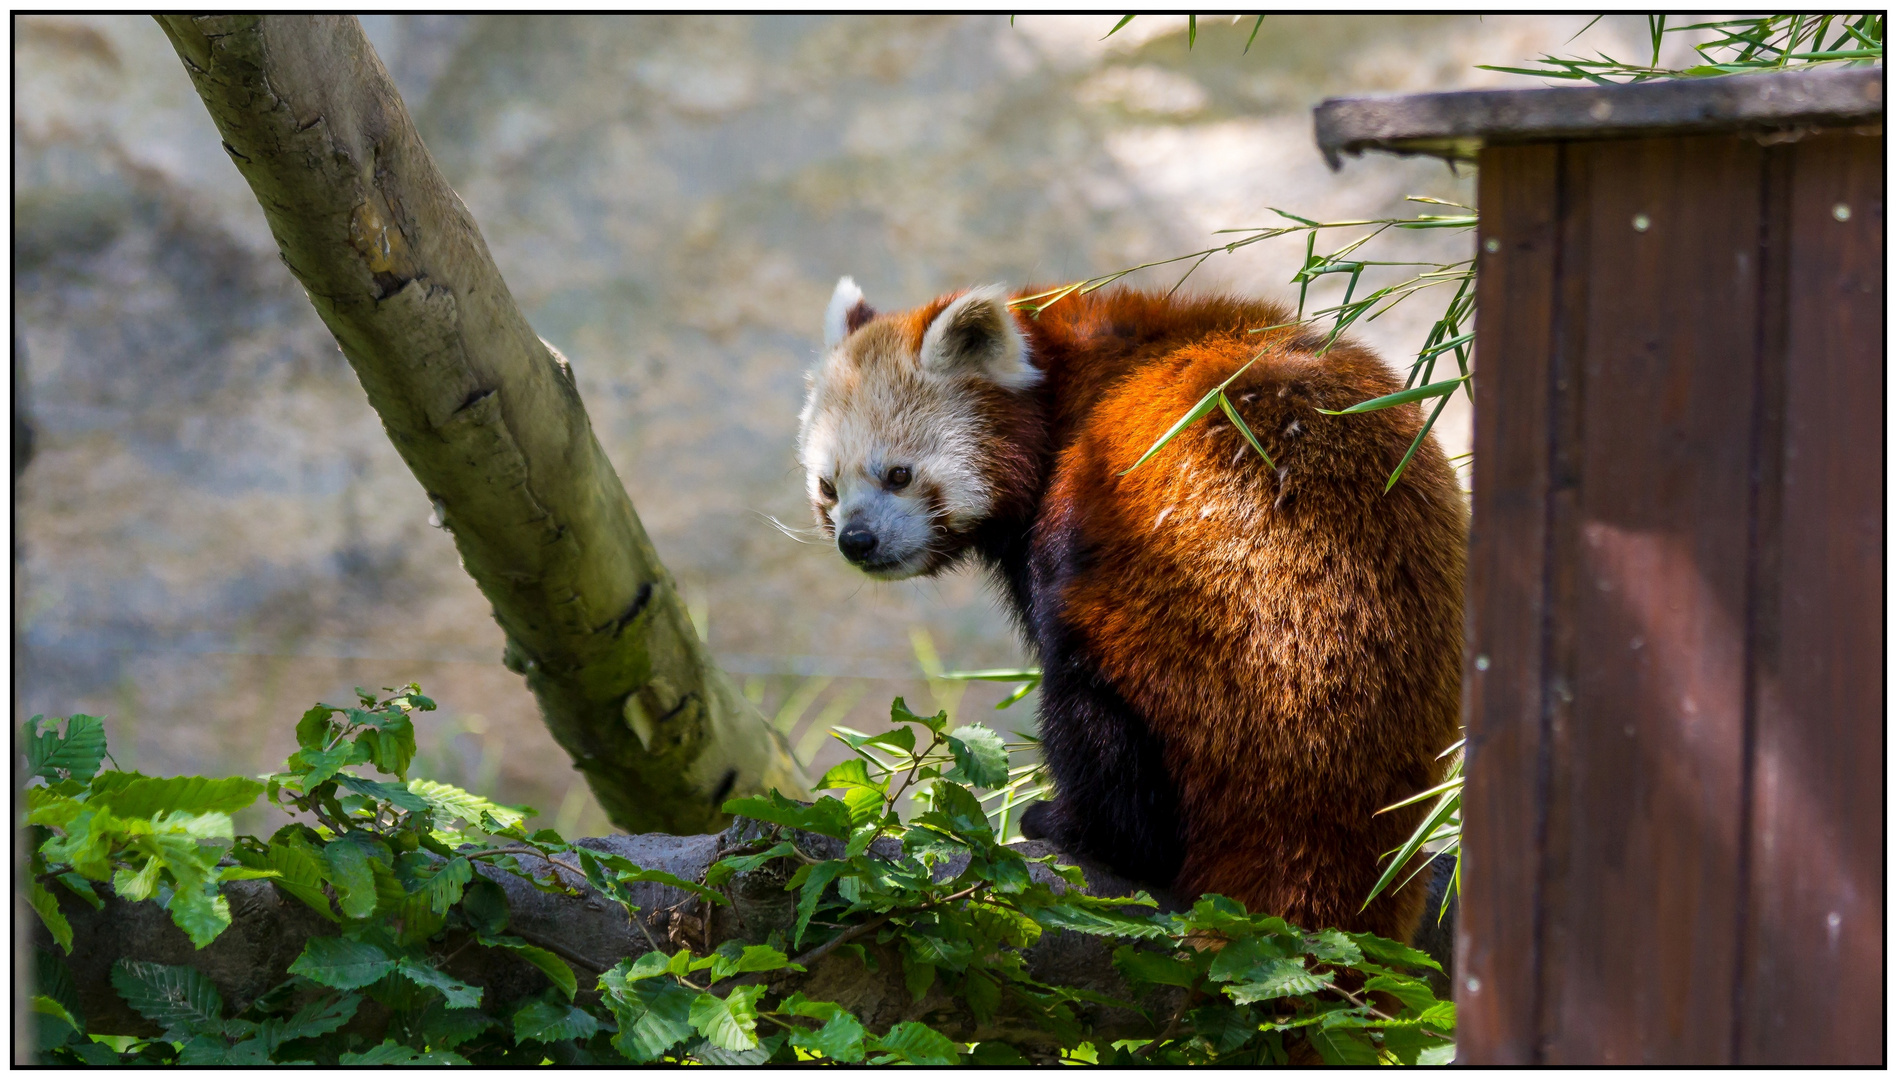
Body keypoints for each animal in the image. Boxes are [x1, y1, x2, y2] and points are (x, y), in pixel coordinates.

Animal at [792, 277, 1456, 941]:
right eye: (828, 487)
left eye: (898, 475)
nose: (856, 540)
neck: (1063, 369)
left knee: (1086, 704)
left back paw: (1080, 831)